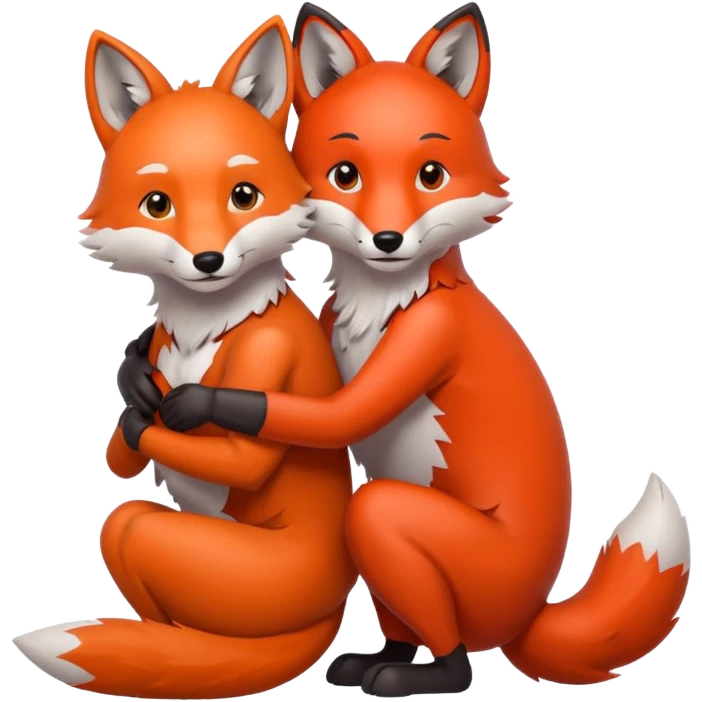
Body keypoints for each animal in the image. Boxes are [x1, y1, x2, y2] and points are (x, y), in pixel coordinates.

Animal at [10, 16, 359, 700]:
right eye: (157, 204)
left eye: (244, 195)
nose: (208, 260)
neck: (205, 332)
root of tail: (332, 608)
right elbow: (122, 452)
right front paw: (135, 385)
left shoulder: (268, 349)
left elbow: (240, 459)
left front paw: (162, 408)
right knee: (132, 544)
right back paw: (185, 652)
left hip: (249, 576)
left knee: (134, 525)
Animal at [117, 2, 693, 698]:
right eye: (345, 175)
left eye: (431, 175)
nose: (387, 239)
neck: (387, 300)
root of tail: (531, 613)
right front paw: (135, 372)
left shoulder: (429, 334)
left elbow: (332, 418)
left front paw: (182, 404)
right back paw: (375, 659)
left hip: (429, 543)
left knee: (396, 549)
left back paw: (425, 673)